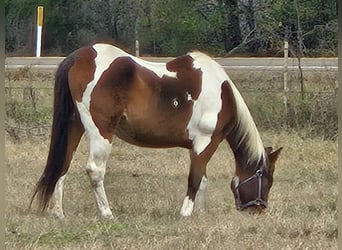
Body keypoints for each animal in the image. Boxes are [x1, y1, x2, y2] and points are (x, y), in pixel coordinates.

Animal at [30, 43, 282, 219]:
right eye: (267, 179)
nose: (258, 210)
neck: (221, 93)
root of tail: (78, 57)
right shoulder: (205, 143)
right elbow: (195, 178)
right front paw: (186, 214)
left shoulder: (199, 147)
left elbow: (202, 179)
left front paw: (199, 213)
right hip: (100, 131)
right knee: (95, 170)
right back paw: (107, 213)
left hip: (75, 126)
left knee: (63, 166)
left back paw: (59, 213)